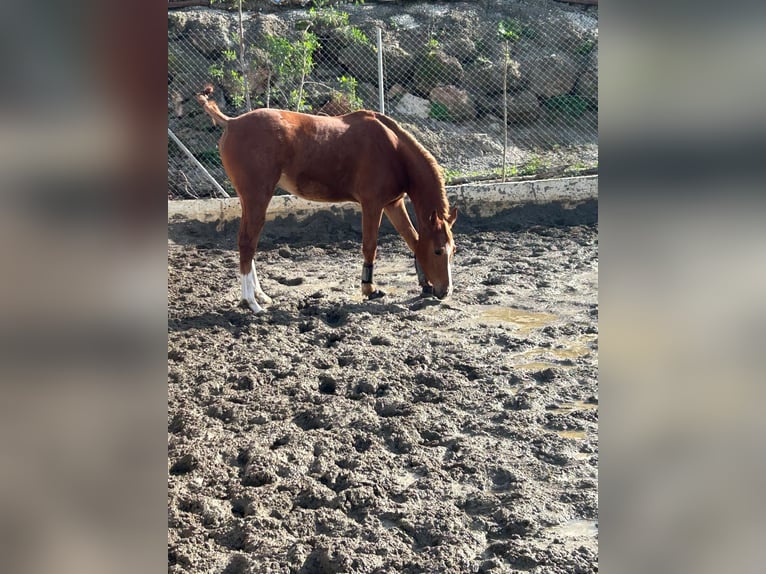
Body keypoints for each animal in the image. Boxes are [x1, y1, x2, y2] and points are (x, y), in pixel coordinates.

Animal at [198, 86, 460, 316]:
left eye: (453, 250)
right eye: (438, 251)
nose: (444, 291)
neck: (392, 148)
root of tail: (232, 122)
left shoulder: (393, 204)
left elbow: (412, 239)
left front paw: (424, 284)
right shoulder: (372, 205)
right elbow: (370, 245)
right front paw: (369, 289)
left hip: (249, 199)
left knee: (248, 242)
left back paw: (260, 295)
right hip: (257, 198)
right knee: (247, 242)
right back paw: (251, 302)